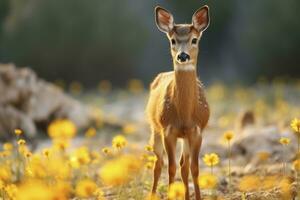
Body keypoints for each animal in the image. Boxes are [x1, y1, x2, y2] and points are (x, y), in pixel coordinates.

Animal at [146, 5, 210, 200]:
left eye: (194, 39)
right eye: (173, 40)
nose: (182, 56)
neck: (184, 115)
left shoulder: (197, 131)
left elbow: (194, 168)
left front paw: (196, 197)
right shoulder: (168, 130)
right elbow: (171, 168)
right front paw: (170, 194)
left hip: (185, 137)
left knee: (184, 165)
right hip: (155, 128)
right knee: (158, 164)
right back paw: (152, 195)